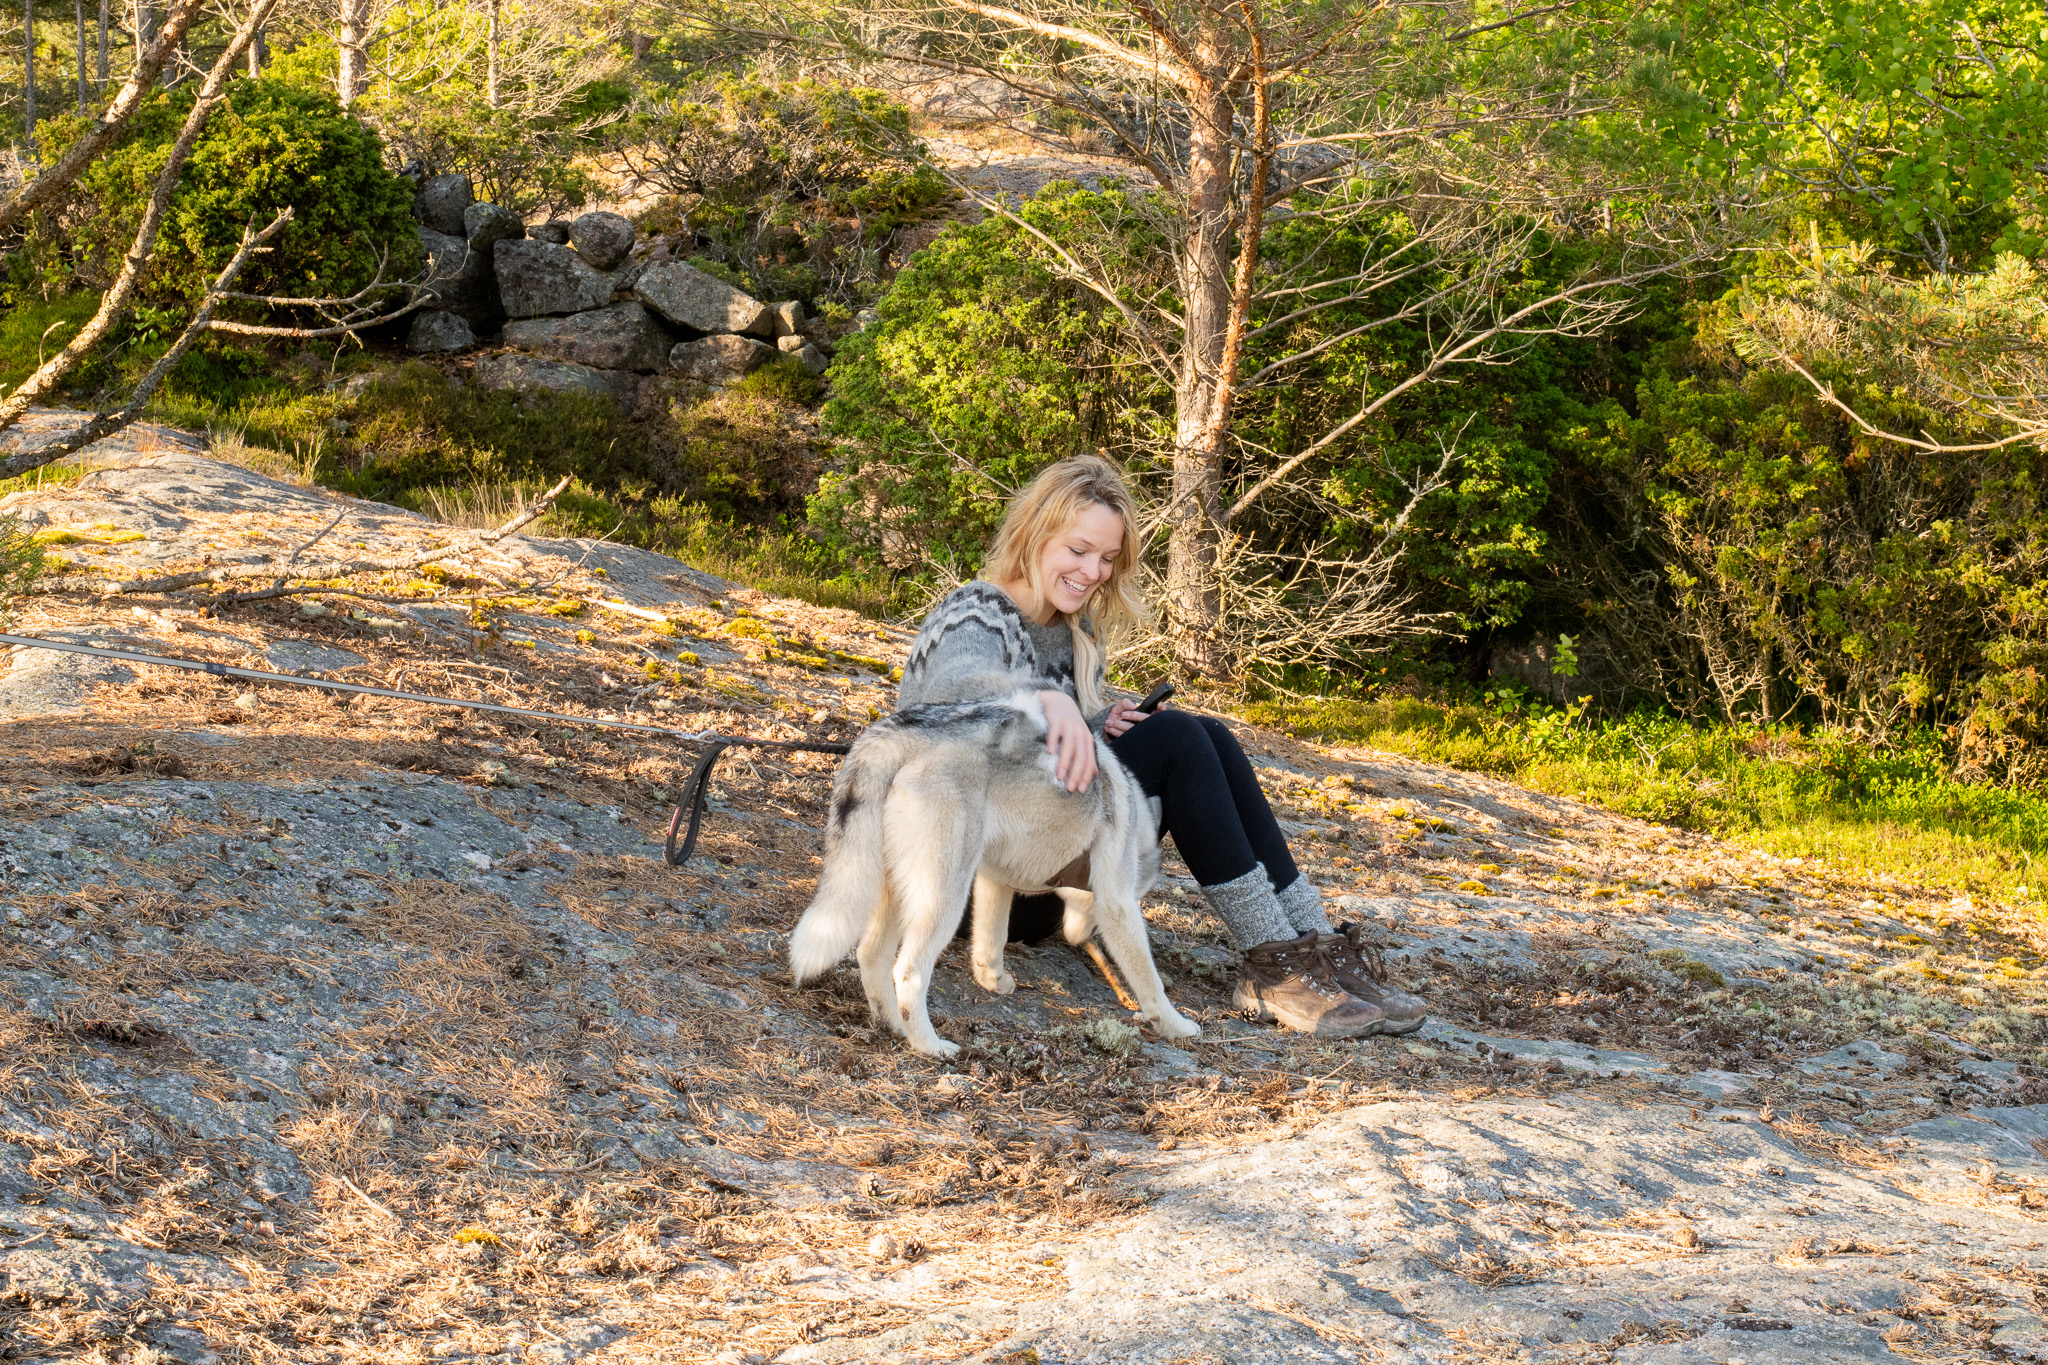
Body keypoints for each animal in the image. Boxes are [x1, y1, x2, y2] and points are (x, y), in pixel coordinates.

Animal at [789, 689, 1201, 1057]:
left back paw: (895, 1027)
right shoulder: (1117, 902)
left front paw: (993, 979)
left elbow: (991, 939)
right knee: (908, 973)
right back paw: (929, 1045)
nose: (1081, 937)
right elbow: (1150, 981)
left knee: (872, 957)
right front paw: (1175, 1025)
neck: (1134, 808)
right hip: (942, 900)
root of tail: (900, 733)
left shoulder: (994, 881)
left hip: (895, 891)